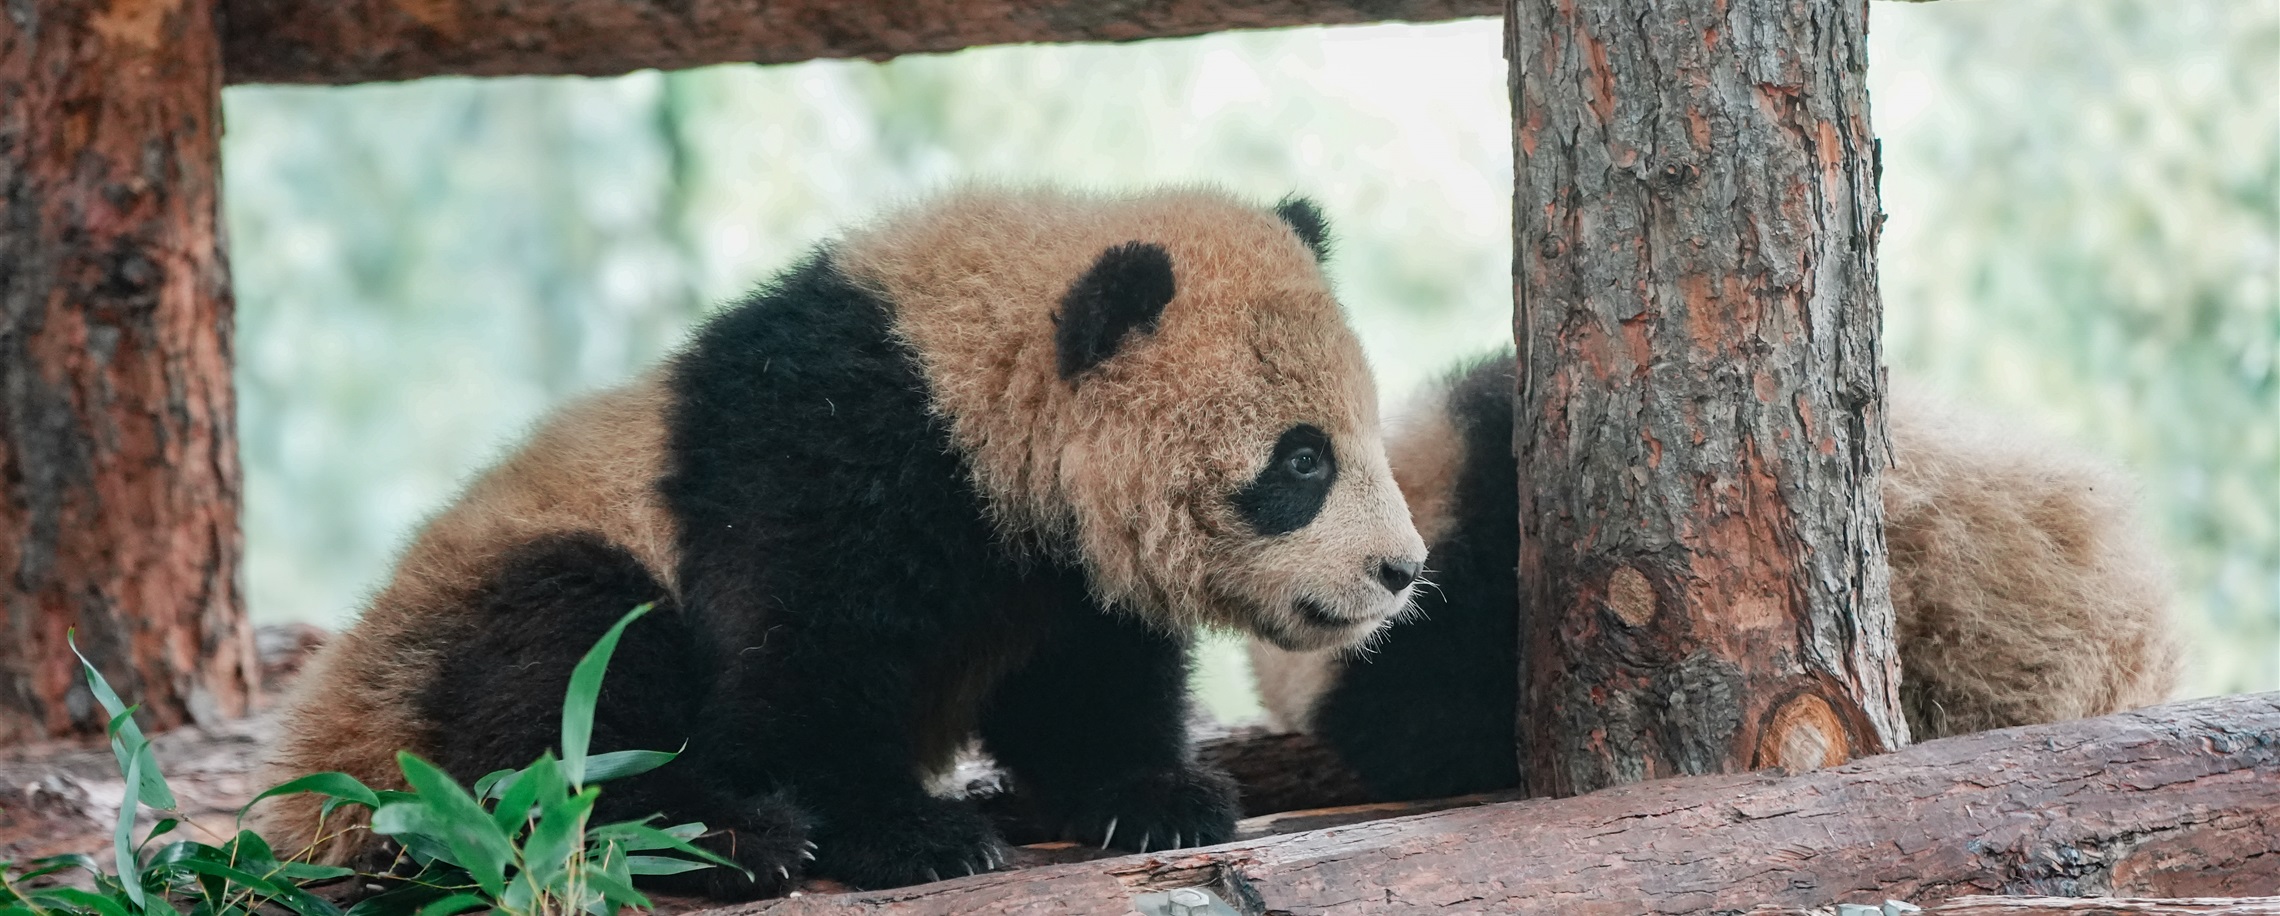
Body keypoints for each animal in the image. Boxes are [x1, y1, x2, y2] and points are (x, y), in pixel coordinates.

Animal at [252, 186, 1429, 897]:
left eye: (1360, 434)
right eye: (1302, 462)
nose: (1401, 571)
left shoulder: (1053, 567)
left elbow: (1080, 687)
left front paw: (1159, 801)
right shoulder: (826, 455)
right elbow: (797, 669)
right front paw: (916, 835)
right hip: (463, 631)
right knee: (556, 688)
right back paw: (713, 838)